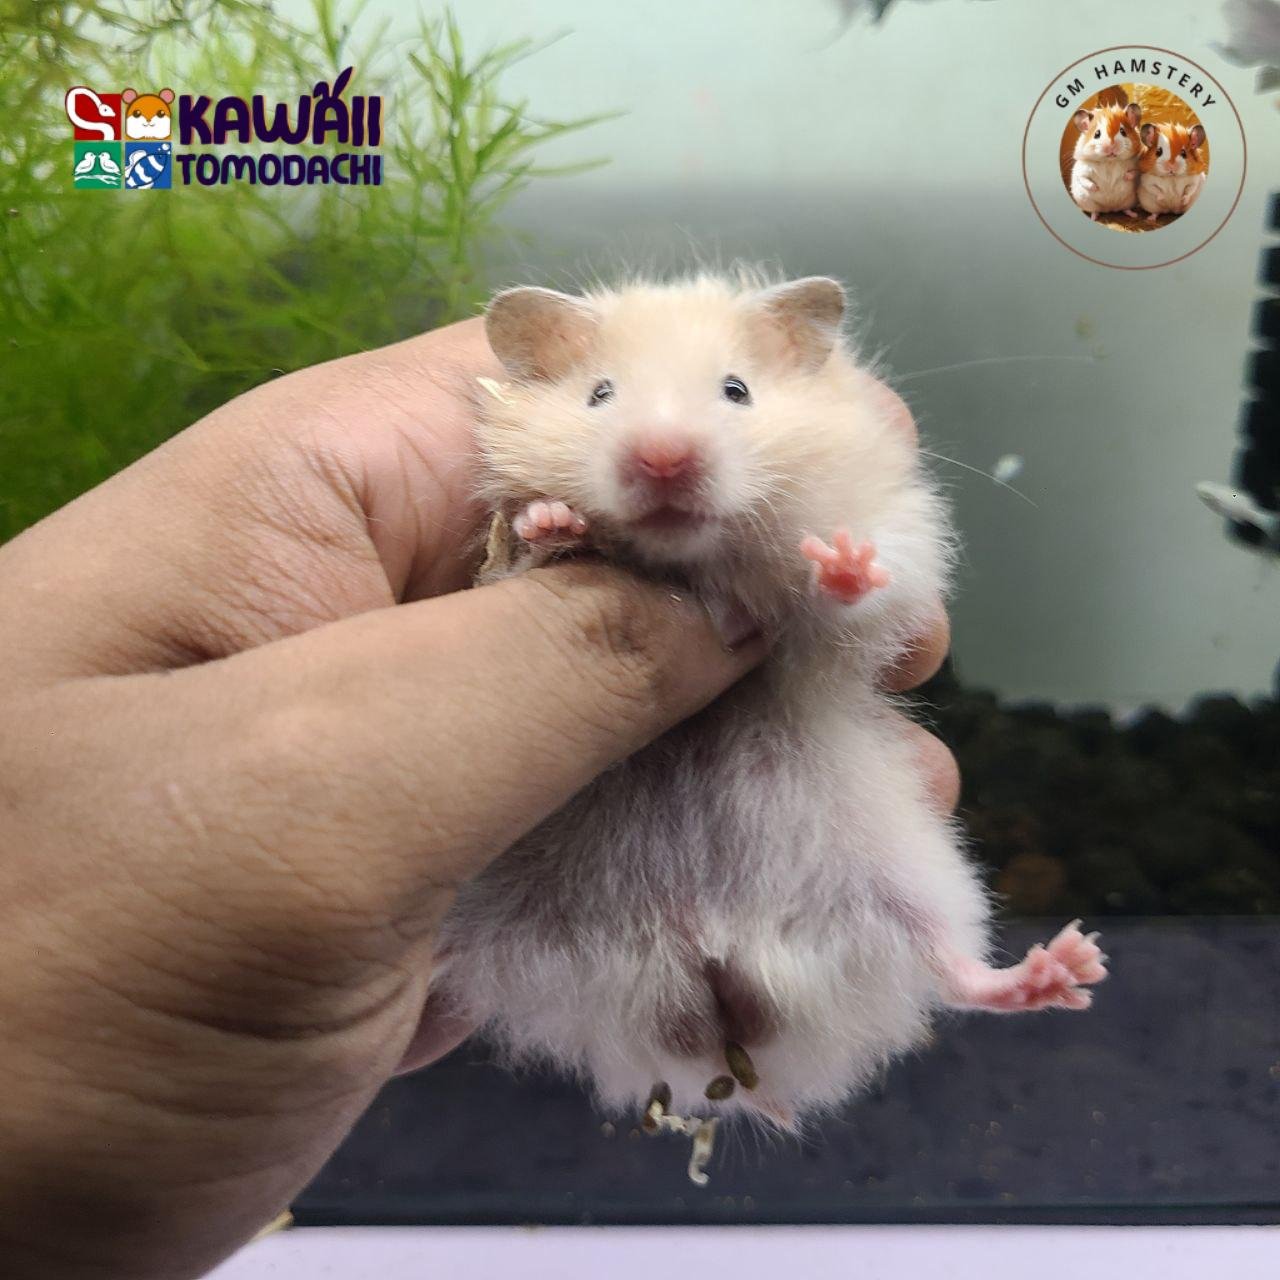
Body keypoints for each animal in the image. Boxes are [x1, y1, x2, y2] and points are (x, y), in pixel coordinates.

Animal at [432, 273, 1108, 1155]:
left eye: (736, 391)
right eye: (599, 394)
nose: (664, 457)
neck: (693, 562)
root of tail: (716, 978)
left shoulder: (894, 563)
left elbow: (859, 597)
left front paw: (841, 561)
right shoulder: (487, 576)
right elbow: (511, 561)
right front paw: (551, 521)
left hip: (912, 878)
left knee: (954, 969)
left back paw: (1067, 969)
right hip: (508, 921)